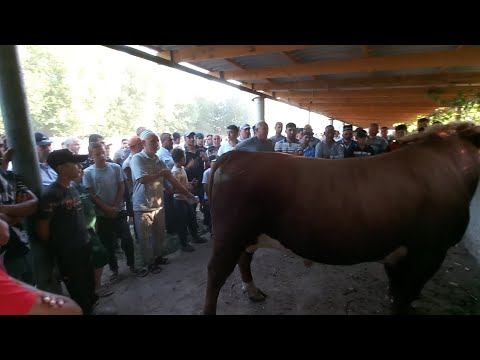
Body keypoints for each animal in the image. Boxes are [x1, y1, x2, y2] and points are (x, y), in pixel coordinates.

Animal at [204, 122, 480, 314]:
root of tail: (235, 155)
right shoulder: (428, 254)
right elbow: (403, 297)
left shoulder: (400, 255)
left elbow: (396, 294)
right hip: (230, 233)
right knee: (216, 273)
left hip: (248, 233)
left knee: (244, 258)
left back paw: (253, 291)